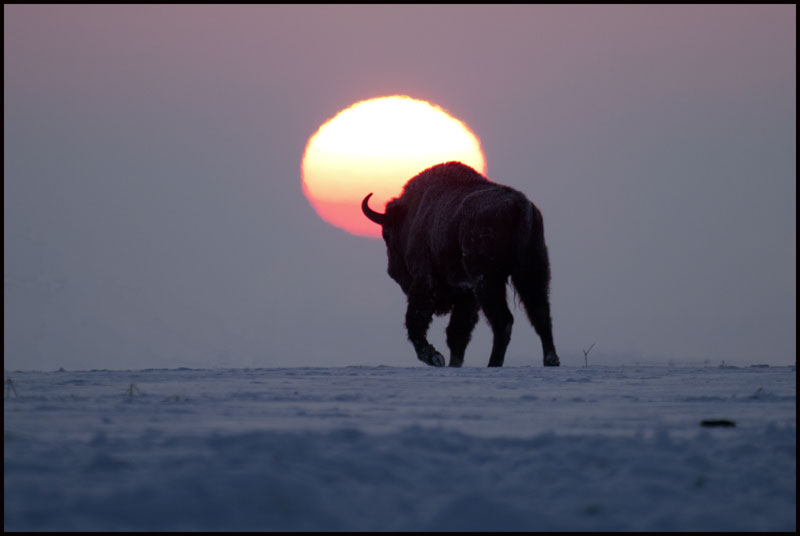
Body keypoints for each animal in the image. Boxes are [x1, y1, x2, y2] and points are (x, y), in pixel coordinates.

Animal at [360, 161, 556, 366]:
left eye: (387, 234)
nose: (392, 270)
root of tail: (518, 207)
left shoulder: (426, 280)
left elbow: (416, 319)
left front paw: (434, 357)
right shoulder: (466, 294)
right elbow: (456, 333)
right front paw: (452, 363)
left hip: (488, 280)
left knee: (504, 320)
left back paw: (492, 364)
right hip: (532, 271)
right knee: (540, 313)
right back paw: (550, 360)